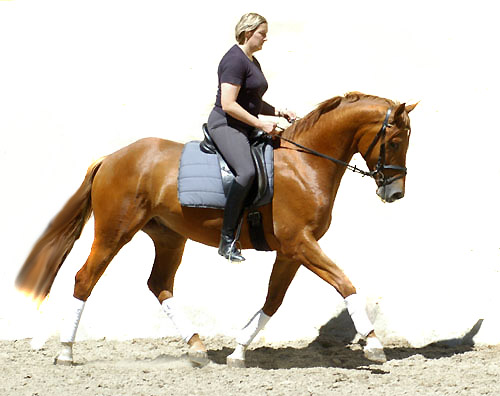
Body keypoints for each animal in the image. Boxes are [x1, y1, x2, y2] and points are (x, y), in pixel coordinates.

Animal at [15, 91, 416, 366]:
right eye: (395, 141)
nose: (395, 193)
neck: (305, 164)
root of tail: (110, 158)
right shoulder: (300, 243)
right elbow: (345, 283)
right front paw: (374, 343)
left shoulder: (291, 251)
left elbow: (273, 301)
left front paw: (238, 351)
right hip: (115, 233)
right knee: (85, 279)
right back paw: (66, 352)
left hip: (169, 237)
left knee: (159, 285)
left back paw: (196, 348)